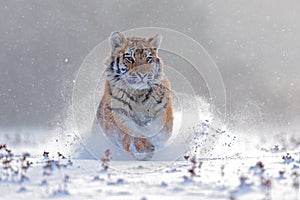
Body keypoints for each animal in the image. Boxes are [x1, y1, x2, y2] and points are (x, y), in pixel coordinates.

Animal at [97, 31, 173, 160]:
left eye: (149, 59)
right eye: (129, 58)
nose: (143, 74)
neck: (138, 95)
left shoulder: (163, 109)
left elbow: (162, 130)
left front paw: (155, 141)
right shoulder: (116, 113)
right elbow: (128, 133)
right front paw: (142, 148)